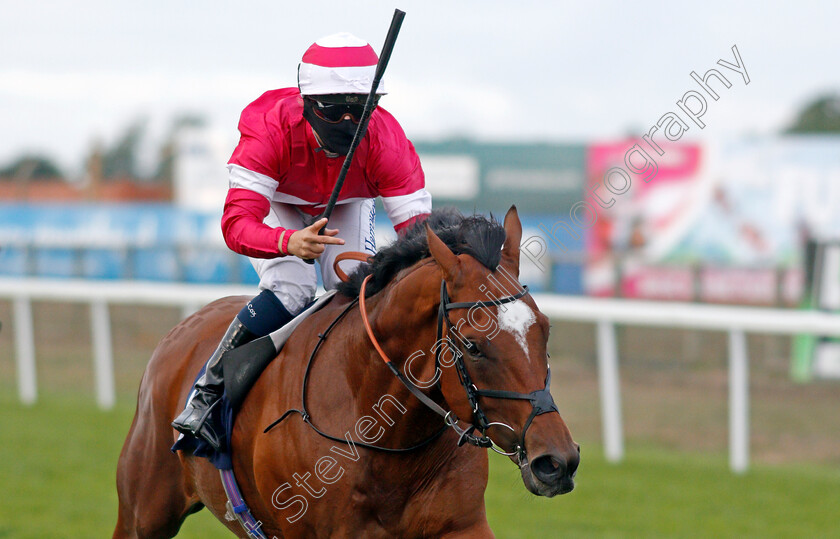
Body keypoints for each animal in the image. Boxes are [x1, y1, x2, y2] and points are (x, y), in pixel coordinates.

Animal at [115, 205, 580, 536]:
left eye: (544, 330)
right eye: (472, 345)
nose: (557, 462)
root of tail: (184, 327)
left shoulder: (461, 524)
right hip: (144, 511)